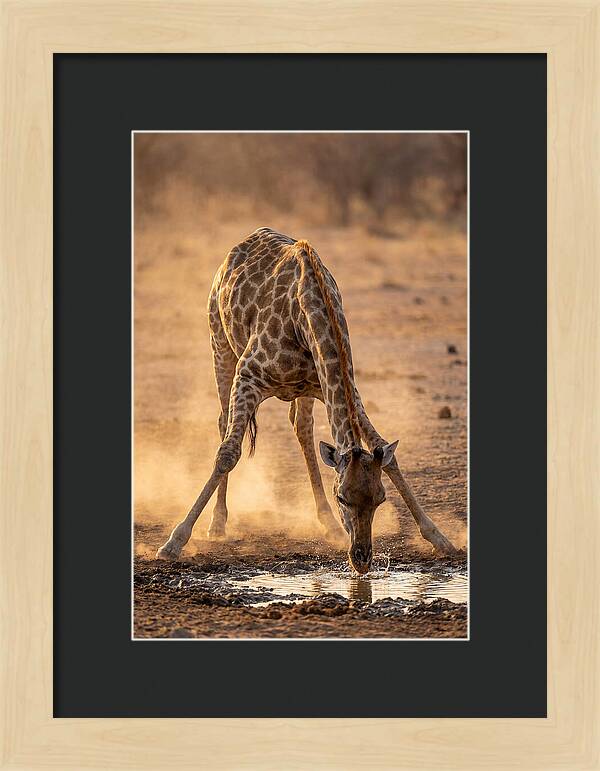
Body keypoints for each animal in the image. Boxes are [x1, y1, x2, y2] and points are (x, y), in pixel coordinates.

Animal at [156, 227, 456, 571]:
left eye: (380, 498)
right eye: (342, 497)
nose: (362, 559)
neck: (308, 315)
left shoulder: (338, 386)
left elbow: (387, 454)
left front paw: (440, 538)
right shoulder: (248, 376)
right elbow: (228, 454)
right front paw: (174, 541)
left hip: (303, 390)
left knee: (301, 427)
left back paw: (328, 524)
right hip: (220, 345)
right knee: (223, 424)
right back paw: (218, 524)